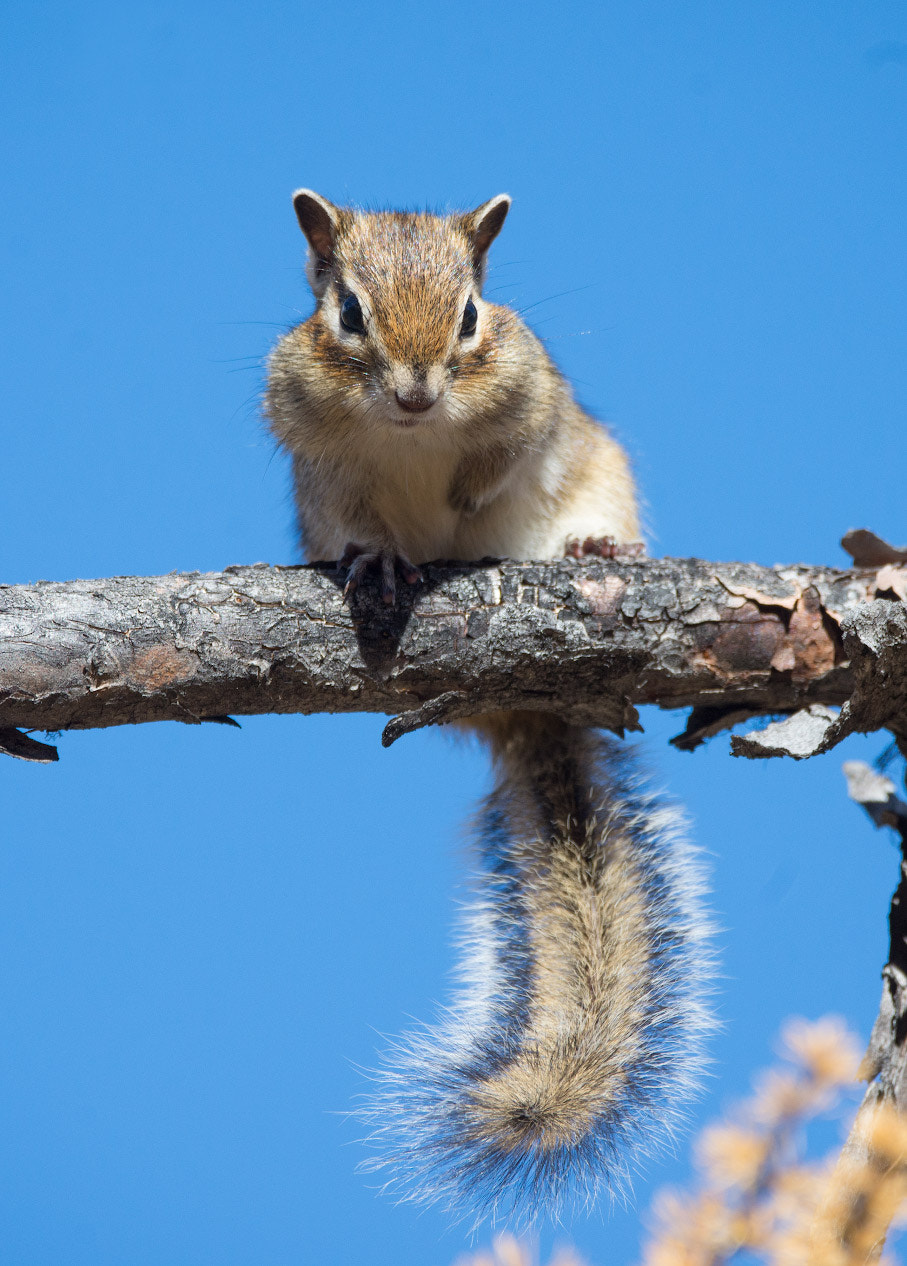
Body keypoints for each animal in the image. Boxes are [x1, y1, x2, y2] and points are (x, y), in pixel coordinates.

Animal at [265, 190, 712, 1224]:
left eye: (471, 315)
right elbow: (359, 520)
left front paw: (467, 494)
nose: (417, 398)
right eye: (347, 313)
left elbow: (504, 453)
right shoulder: (314, 452)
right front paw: (380, 559)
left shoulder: (530, 390)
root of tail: (528, 711)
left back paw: (594, 548)